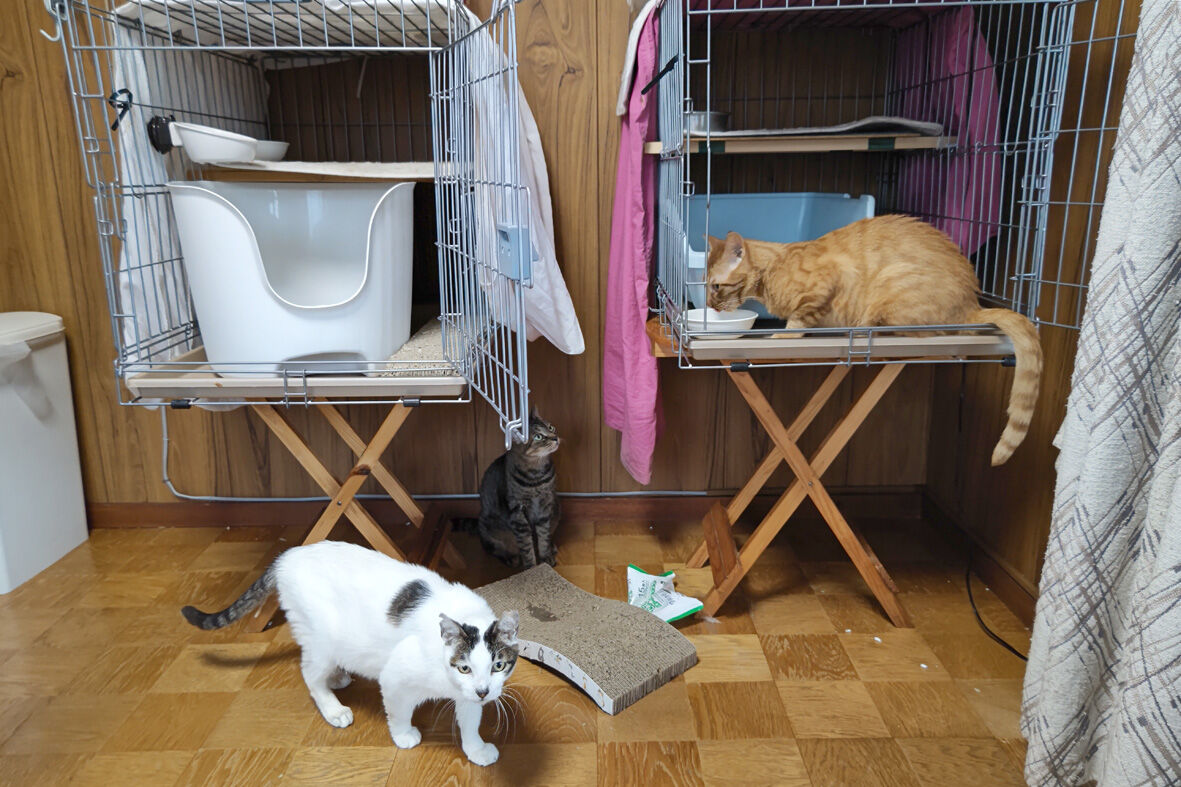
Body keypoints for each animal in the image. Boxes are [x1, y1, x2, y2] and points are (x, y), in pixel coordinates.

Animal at [180, 541, 519, 767]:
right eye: (464, 667)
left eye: (498, 665)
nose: (483, 691)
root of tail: (287, 555)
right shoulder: (395, 679)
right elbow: (399, 712)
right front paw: (404, 735)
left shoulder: (468, 695)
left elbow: (470, 721)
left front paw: (476, 749)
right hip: (322, 640)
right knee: (309, 673)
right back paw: (333, 708)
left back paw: (339, 677)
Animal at [463, 407, 561, 569]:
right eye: (538, 437)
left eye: (551, 427)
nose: (555, 438)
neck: (536, 475)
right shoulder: (518, 513)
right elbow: (526, 546)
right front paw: (532, 568)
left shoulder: (545, 506)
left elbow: (543, 536)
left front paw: (546, 556)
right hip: (491, 530)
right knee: (492, 548)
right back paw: (510, 558)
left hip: (556, 509)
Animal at [706, 215, 1043, 465]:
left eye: (715, 286)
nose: (710, 306)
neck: (772, 273)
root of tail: (973, 304)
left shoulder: (827, 283)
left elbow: (800, 319)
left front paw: (784, 333)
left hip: (891, 286)